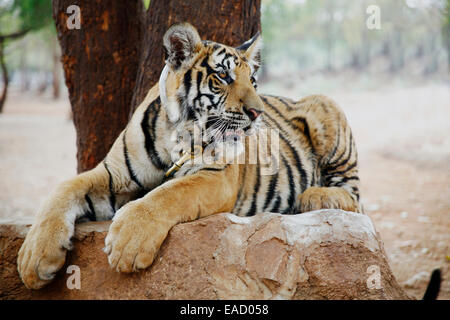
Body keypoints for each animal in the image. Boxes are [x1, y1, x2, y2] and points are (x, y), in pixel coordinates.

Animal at [18, 21, 362, 288]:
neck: (177, 132)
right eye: (223, 76)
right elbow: (65, 188)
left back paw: (315, 197)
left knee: (355, 197)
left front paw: (128, 242)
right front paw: (34, 258)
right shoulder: (115, 173)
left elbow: (169, 193)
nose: (257, 113)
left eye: (252, 81)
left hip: (325, 106)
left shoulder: (214, 176)